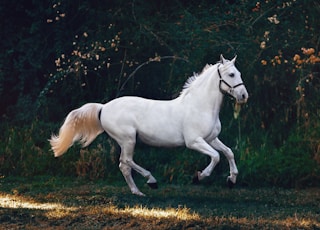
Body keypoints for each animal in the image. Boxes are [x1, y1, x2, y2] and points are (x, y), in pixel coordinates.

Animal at [50, 54, 250, 195]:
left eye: (240, 74)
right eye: (231, 74)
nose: (243, 96)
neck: (200, 106)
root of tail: (103, 107)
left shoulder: (211, 138)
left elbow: (229, 152)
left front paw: (231, 180)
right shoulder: (194, 142)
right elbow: (216, 156)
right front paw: (199, 177)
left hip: (127, 141)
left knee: (124, 165)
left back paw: (138, 192)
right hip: (128, 139)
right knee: (126, 161)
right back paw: (151, 181)